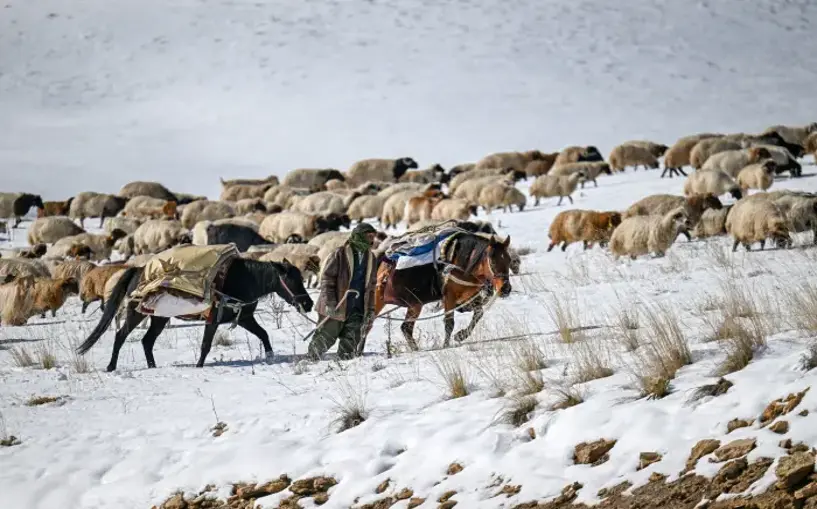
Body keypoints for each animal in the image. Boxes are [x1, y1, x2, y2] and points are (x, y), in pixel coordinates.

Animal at [77, 258, 312, 370]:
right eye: (292, 279)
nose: (308, 304)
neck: (245, 280)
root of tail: (138, 270)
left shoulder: (245, 318)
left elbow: (263, 334)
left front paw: (270, 356)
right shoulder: (214, 319)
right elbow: (206, 345)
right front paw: (199, 366)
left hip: (159, 318)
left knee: (147, 341)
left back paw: (152, 366)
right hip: (137, 314)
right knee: (121, 335)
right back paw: (111, 366)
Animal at [374, 230, 512, 350]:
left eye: (509, 260)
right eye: (492, 261)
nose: (506, 289)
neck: (462, 265)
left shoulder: (469, 297)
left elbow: (478, 313)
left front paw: (461, 335)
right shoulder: (449, 297)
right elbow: (449, 323)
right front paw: (446, 345)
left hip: (414, 304)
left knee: (405, 328)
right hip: (406, 303)